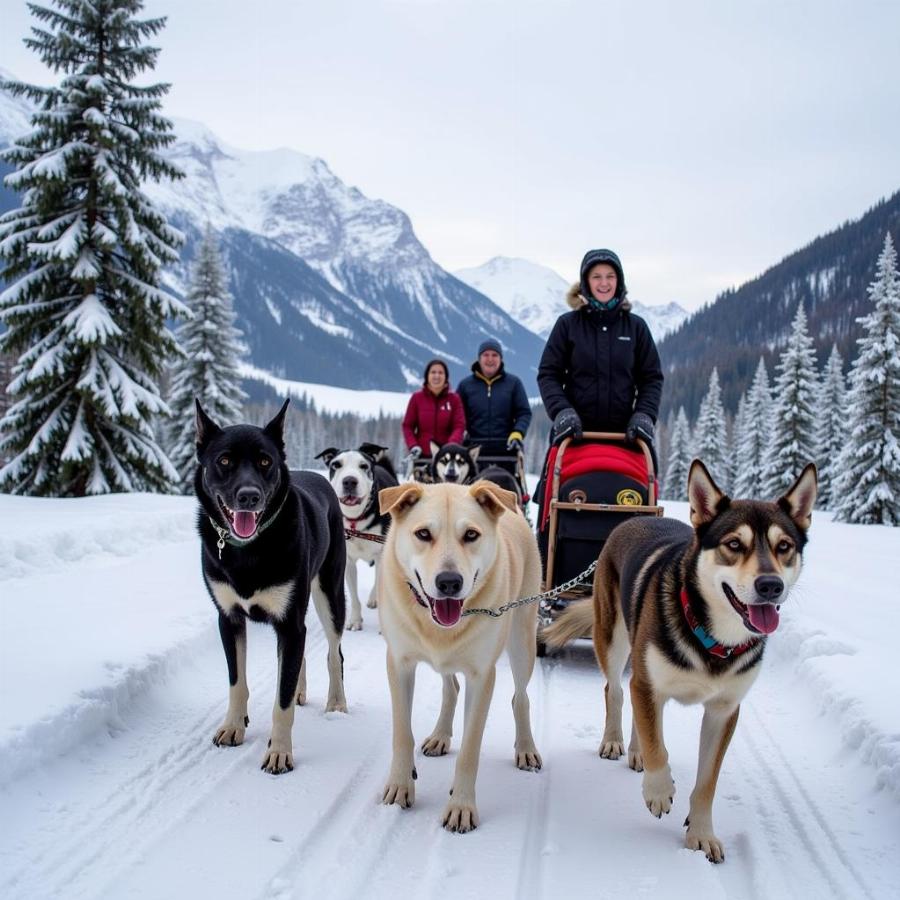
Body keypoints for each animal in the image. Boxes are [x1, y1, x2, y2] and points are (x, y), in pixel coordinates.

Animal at [196, 400, 348, 772]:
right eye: (224, 461)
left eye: (265, 462)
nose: (249, 496)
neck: (249, 549)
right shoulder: (229, 619)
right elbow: (238, 682)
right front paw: (233, 726)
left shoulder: (290, 623)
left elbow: (281, 702)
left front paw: (279, 751)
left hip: (330, 593)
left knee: (333, 651)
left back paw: (336, 702)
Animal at [318, 446, 400, 628]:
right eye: (336, 465)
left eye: (363, 466)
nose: (349, 481)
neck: (357, 520)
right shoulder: (348, 561)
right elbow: (354, 596)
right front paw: (355, 620)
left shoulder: (381, 554)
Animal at [374, 482, 540, 832]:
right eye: (423, 533)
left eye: (471, 535)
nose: (449, 582)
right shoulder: (399, 664)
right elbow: (402, 734)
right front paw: (400, 786)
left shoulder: (482, 676)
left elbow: (470, 750)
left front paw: (461, 805)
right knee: (451, 688)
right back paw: (440, 736)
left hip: (522, 641)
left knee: (520, 697)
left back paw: (526, 748)